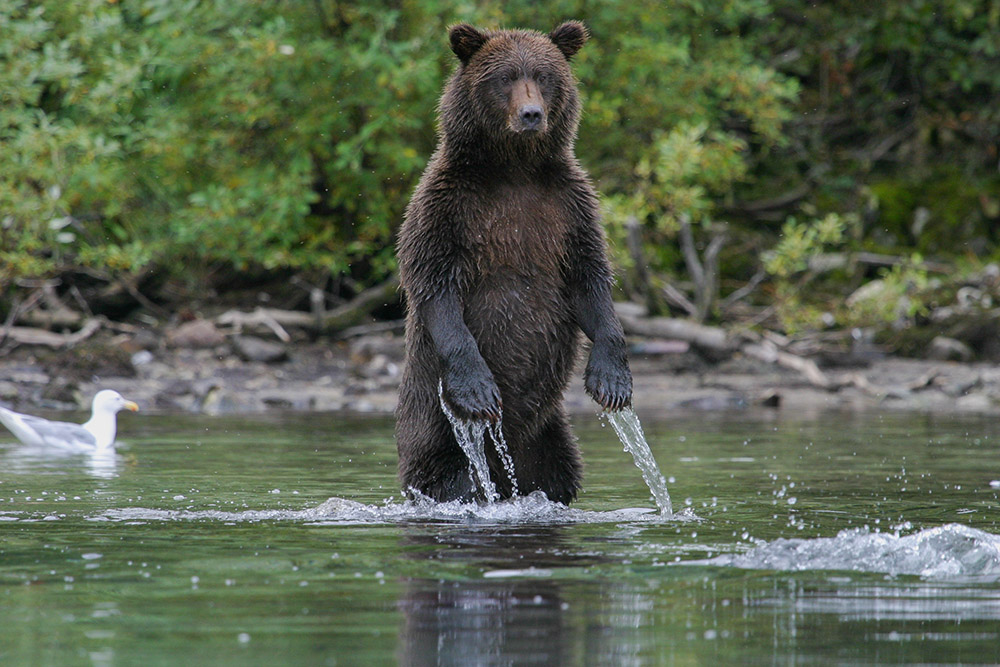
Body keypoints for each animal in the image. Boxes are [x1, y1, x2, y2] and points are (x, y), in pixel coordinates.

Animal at [395, 20, 632, 505]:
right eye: (504, 77)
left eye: (543, 75)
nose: (531, 114)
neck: (514, 170)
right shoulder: (446, 209)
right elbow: (434, 283)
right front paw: (478, 390)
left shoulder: (569, 208)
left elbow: (590, 279)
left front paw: (612, 380)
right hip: (437, 434)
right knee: (451, 479)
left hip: (549, 437)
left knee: (559, 474)